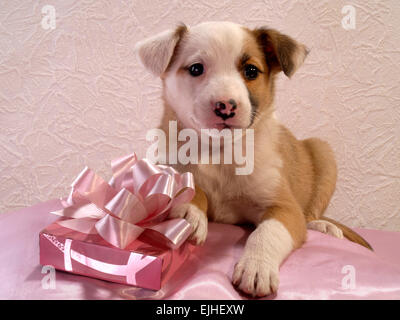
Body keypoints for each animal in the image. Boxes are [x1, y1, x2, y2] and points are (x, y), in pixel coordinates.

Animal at [135, 21, 372, 298]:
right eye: (196, 69)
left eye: (251, 71)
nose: (225, 106)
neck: (220, 152)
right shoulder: (167, 168)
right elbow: (189, 185)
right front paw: (189, 212)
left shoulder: (283, 206)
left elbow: (267, 232)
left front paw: (257, 267)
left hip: (323, 152)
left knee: (309, 215)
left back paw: (324, 227)